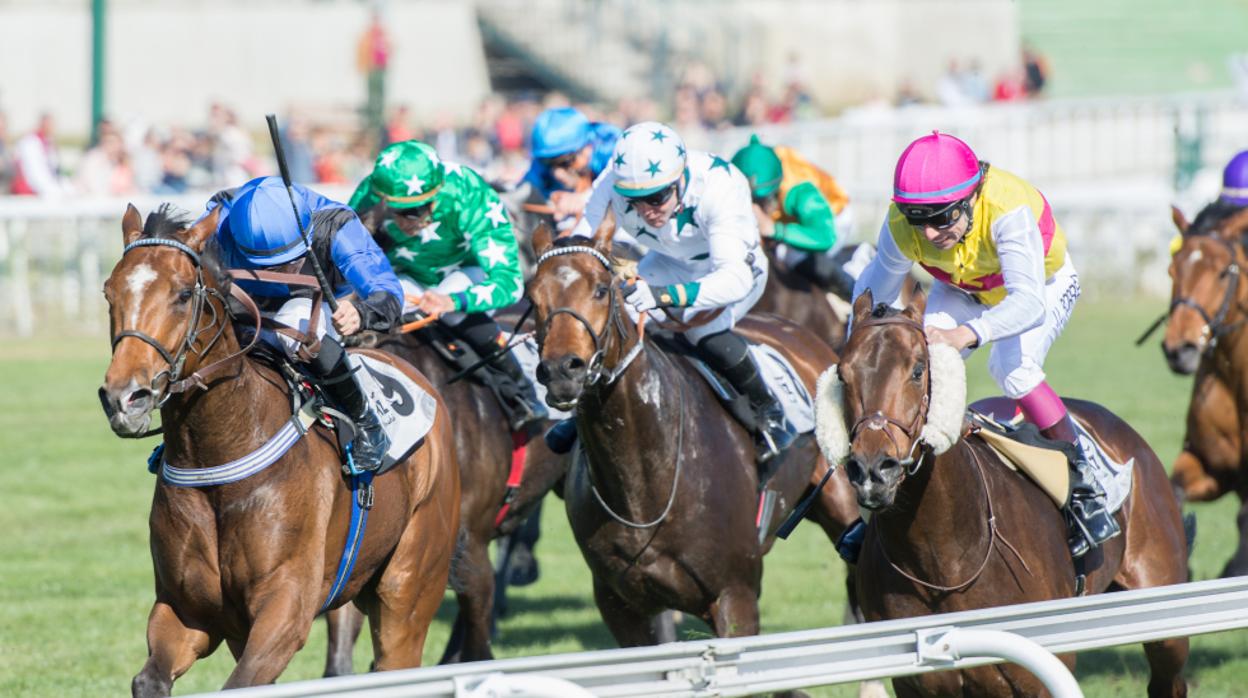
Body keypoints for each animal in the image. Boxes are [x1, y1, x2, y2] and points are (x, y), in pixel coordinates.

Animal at [97, 204, 459, 694]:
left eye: (182, 295)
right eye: (109, 293)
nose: (124, 397)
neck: (220, 452)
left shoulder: (285, 609)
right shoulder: (188, 611)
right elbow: (148, 679)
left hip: (408, 588)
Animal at [521, 216, 863, 654]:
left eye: (601, 289)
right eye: (533, 296)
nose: (563, 370)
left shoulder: (736, 596)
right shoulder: (623, 607)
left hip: (841, 499)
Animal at [818, 288, 1188, 698]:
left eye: (917, 369)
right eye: (842, 374)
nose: (872, 469)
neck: (944, 557)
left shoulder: (1040, 674)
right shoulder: (918, 683)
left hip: (1165, 615)